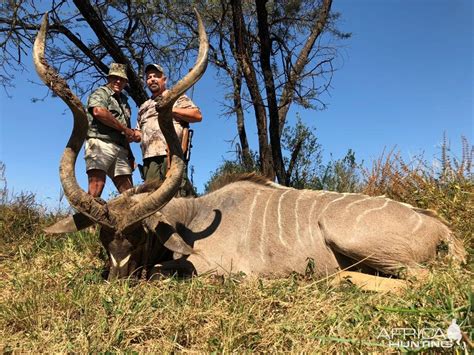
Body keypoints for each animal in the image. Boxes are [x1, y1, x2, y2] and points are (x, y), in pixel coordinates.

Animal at [36, 13, 462, 292]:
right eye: (103, 239)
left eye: (140, 237)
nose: (117, 282)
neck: (189, 217)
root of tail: (440, 228)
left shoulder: (211, 268)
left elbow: (163, 271)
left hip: (355, 242)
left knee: (420, 279)